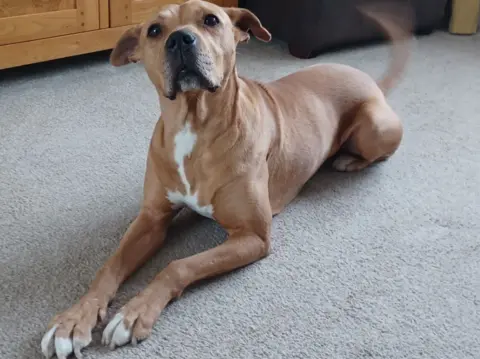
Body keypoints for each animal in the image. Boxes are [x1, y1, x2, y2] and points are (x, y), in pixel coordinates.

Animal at [40, 1, 412, 358]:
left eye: (211, 20)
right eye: (155, 30)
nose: (180, 39)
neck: (194, 122)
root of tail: (371, 81)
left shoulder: (252, 235)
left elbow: (178, 265)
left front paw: (134, 313)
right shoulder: (151, 219)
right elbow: (108, 267)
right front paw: (73, 320)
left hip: (375, 128)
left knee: (378, 152)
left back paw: (348, 160)